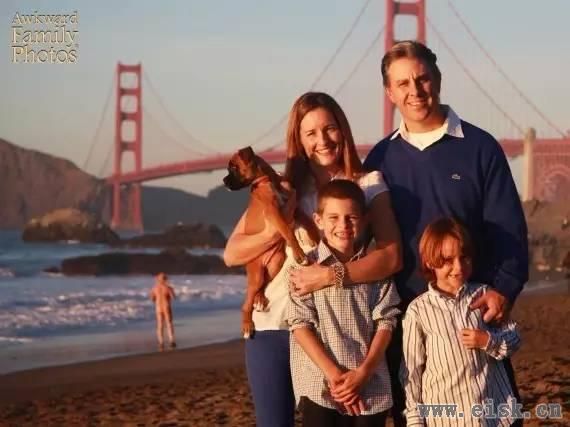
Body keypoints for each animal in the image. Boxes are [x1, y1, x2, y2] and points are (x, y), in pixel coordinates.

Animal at [223, 146, 317, 339]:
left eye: (234, 167)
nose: (224, 182)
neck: (269, 180)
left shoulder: (293, 207)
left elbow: (306, 220)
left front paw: (314, 234)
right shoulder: (274, 213)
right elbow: (288, 232)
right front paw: (300, 255)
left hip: (275, 263)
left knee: (262, 287)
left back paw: (259, 299)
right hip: (256, 274)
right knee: (246, 302)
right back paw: (247, 326)